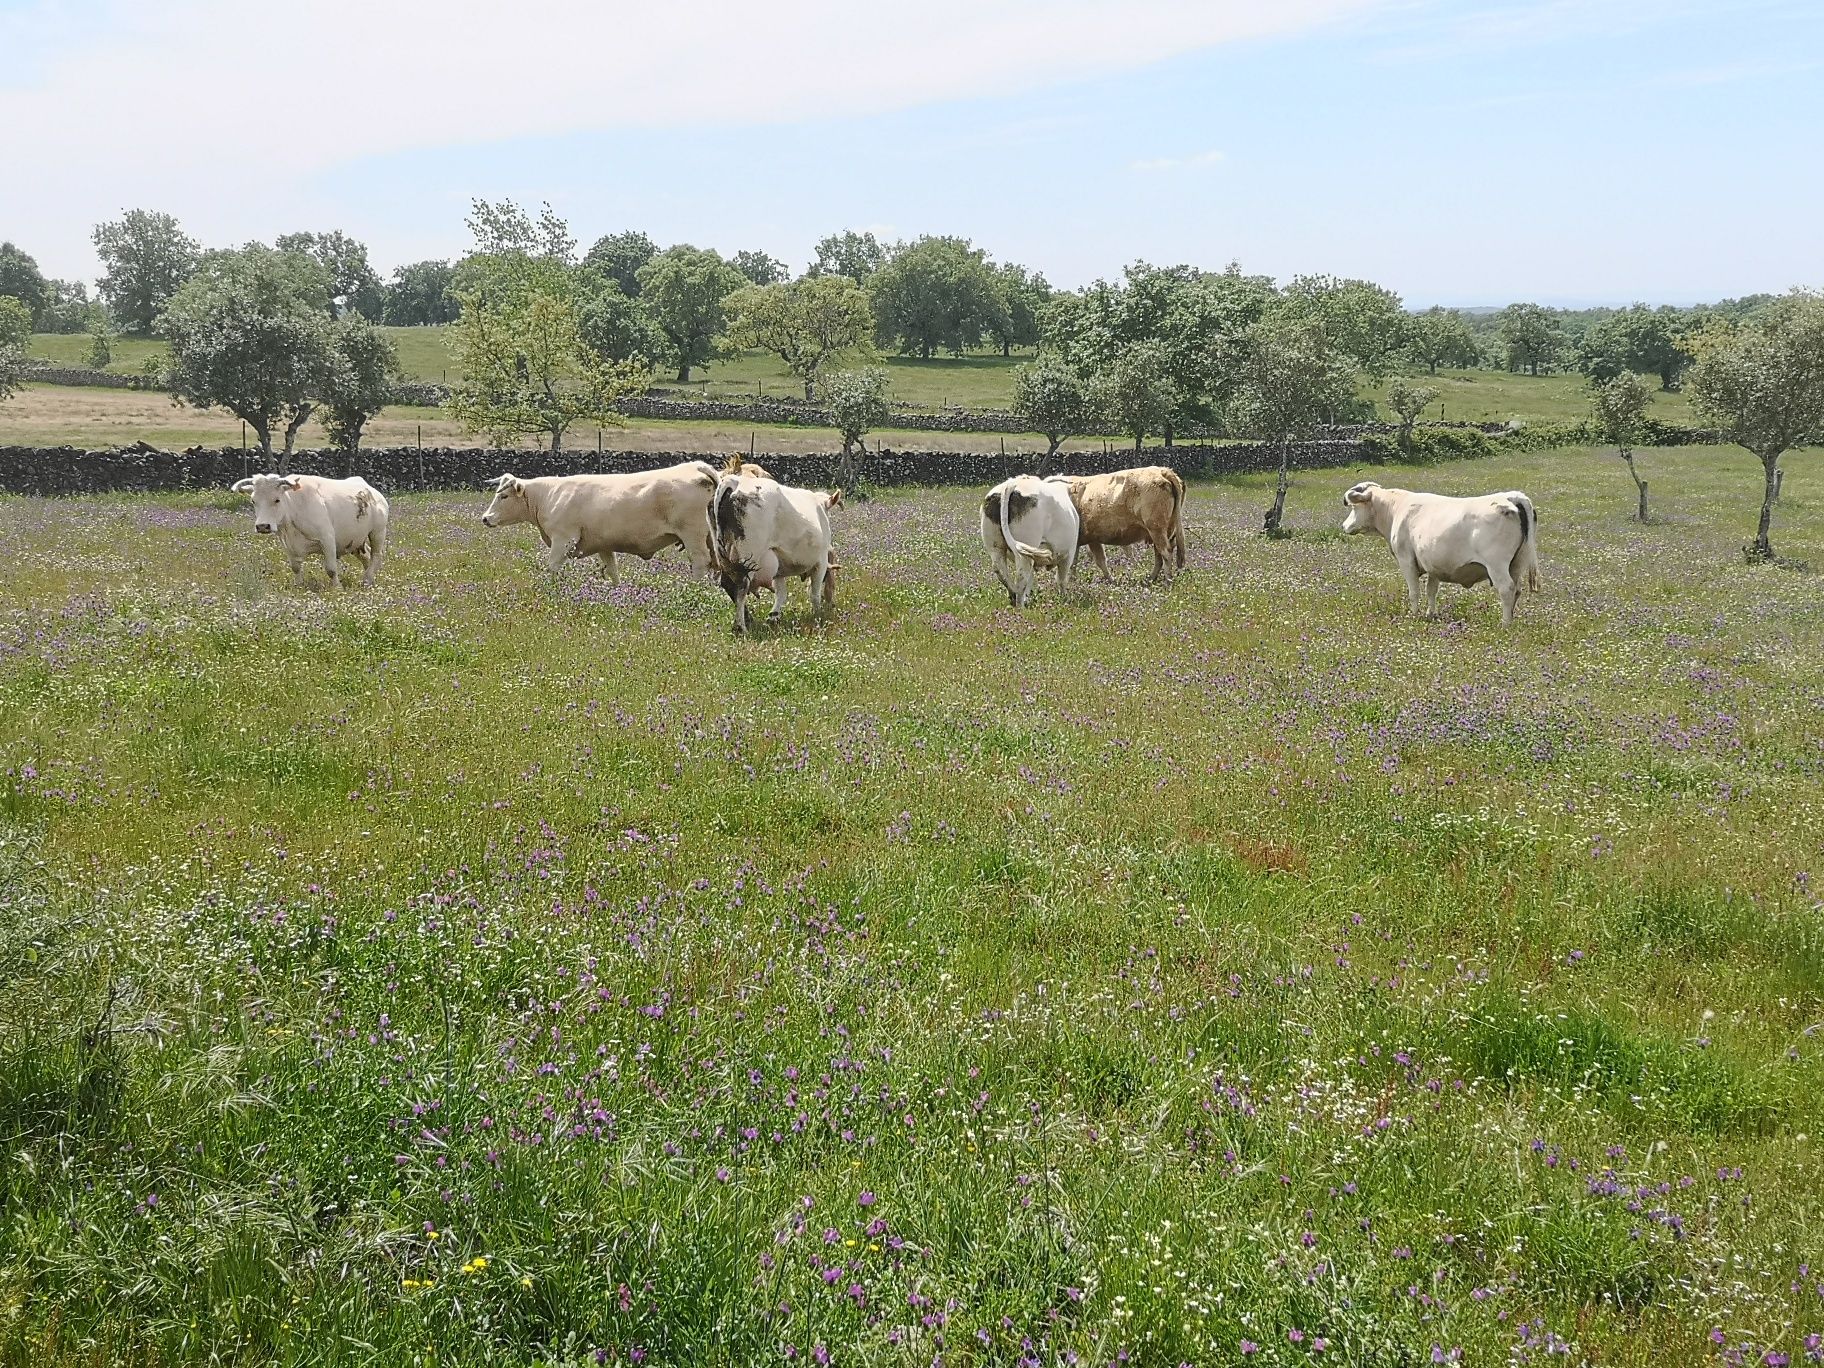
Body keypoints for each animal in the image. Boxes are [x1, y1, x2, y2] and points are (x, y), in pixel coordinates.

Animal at [231, 470, 388, 590]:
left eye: (277, 500)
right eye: (253, 501)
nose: (263, 526)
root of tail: (372, 491)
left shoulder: (327, 539)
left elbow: (331, 569)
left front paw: (337, 587)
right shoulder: (287, 544)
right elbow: (295, 567)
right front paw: (298, 585)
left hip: (377, 532)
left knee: (376, 556)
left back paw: (367, 580)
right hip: (355, 541)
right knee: (366, 556)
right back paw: (370, 578)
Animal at [481, 463, 722, 580]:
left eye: (504, 496)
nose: (485, 518)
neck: (549, 495)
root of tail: (695, 466)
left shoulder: (563, 540)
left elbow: (552, 568)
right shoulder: (604, 546)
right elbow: (613, 572)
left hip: (693, 535)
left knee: (700, 562)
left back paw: (693, 588)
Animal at [1050, 466, 1189, 583]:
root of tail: (1162, 471)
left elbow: (1072, 562)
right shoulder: (1092, 538)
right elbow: (1099, 560)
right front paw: (1110, 580)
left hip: (1156, 529)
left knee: (1166, 553)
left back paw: (1167, 581)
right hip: (1165, 531)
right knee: (1159, 555)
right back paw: (1151, 579)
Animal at [1342, 481, 1539, 627]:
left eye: (1354, 507)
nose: (1344, 526)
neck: (1396, 508)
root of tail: (1512, 497)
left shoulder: (1406, 559)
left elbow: (1414, 592)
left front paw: (1414, 615)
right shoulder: (1433, 564)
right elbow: (1431, 590)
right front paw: (1431, 614)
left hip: (1497, 565)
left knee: (1507, 589)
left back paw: (1505, 624)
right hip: (1518, 563)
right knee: (1517, 590)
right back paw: (1511, 619)